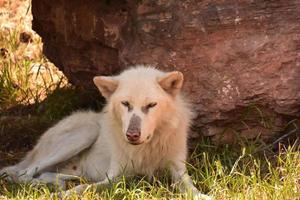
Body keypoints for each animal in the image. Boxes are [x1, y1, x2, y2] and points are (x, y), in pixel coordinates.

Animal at [0, 65, 211, 198]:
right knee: (23, 174)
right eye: (125, 104)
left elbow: (191, 188)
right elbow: (86, 188)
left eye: (151, 105)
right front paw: (63, 195)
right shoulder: (115, 176)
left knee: (48, 175)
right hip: (86, 131)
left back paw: (59, 182)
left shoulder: (178, 170)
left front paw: (203, 196)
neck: (146, 148)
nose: (132, 135)